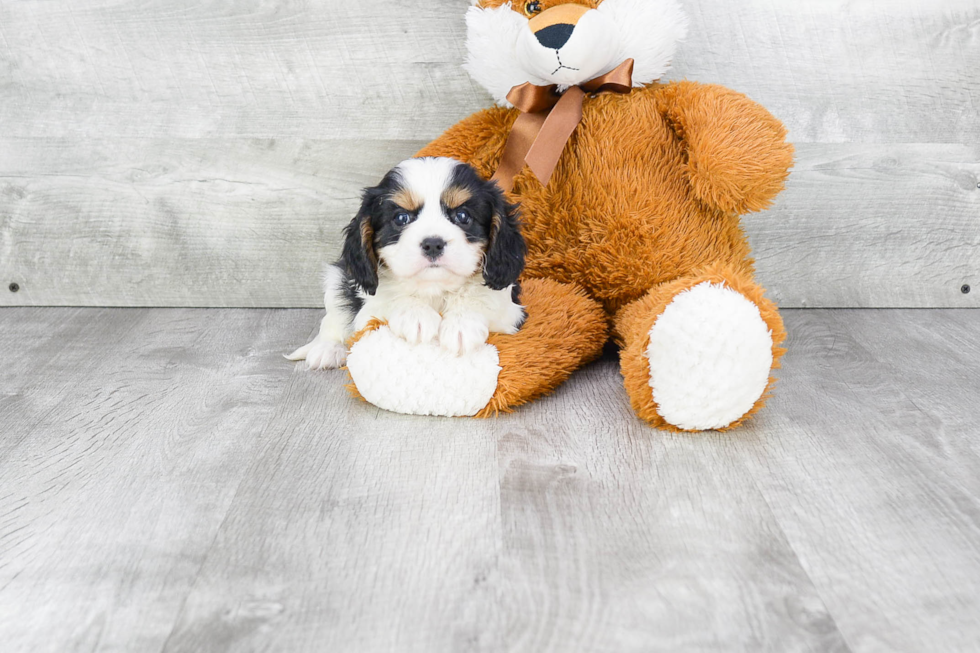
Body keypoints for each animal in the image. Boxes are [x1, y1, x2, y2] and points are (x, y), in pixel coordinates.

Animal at [286, 154, 524, 366]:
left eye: (463, 216)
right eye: (401, 218)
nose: (433, 244)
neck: (434, 289)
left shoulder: (511, 314)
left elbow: (481, 297)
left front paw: (462, 322)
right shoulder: (369, 311)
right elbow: (392, 295)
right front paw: (415, 315)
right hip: (336, 278)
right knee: (332, 319)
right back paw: (328, 349)